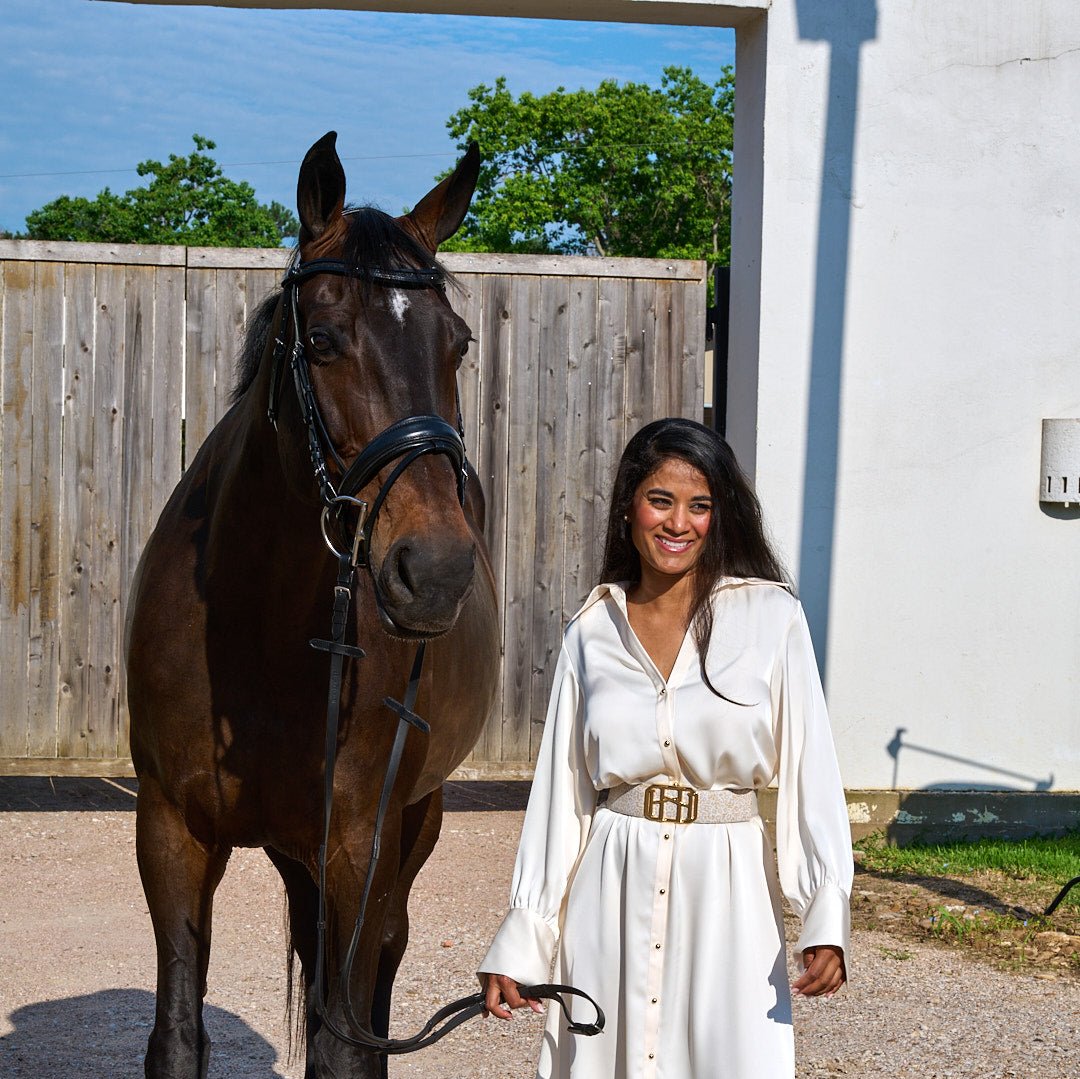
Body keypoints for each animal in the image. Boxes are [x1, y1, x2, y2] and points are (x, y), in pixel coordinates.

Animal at [125, 135, 501, 1079]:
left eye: (457, 343)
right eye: (324, 341)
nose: (436, 570)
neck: (254, 631)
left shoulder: (358, 842)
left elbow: (344, 1042)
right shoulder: (170, 832)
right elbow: (177, 1034)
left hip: (413, 823)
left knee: (381, 966)